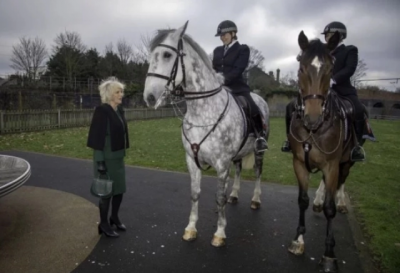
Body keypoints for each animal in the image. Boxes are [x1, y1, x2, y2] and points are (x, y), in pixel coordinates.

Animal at [142, 21, 270, 246]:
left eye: (167, 55)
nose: (149, 97)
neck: (202, 112)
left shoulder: (222, 164)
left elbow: (219, 198)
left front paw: (219, 233)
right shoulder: (192, 160)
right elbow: (195, 194)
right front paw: (191, 229)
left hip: (258, 151)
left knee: (257, 172)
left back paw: (255, 199)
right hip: (237, 155)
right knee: (239, 170)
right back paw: (235, 195)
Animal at [286, 30, 368, 272]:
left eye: (330, 70)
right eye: (301, 68)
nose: (312, 118)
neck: (314, 130)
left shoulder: (332, 165)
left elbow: (330, 209)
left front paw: (329, 254)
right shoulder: (299, 163)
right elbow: (302, 200)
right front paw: (298, 241)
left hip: (347, 161)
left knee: (342, 181)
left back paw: (340, 202)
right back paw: (318, 201)